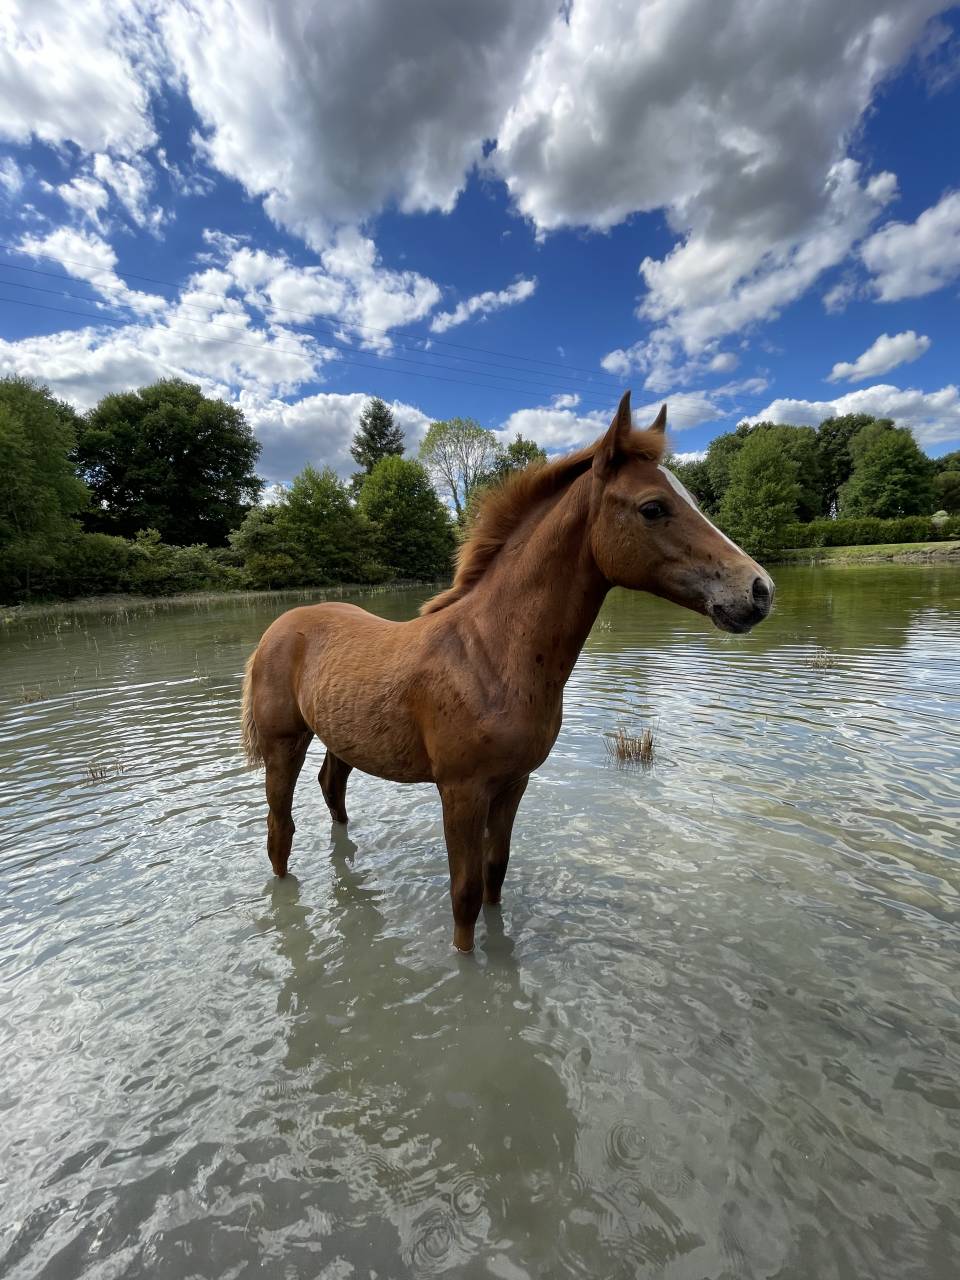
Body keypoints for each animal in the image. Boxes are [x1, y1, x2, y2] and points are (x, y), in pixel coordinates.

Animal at [240, 392, 774, 952]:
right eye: (653, 507)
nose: (759, 590)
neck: (491, 654)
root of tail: (279, 627)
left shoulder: (514, 783)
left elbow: (495, 873)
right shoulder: (461, 792)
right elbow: (465, 894)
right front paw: (465, 961)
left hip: (342, 739)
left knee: (332, 790)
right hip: (283, 745)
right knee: (279, 831)